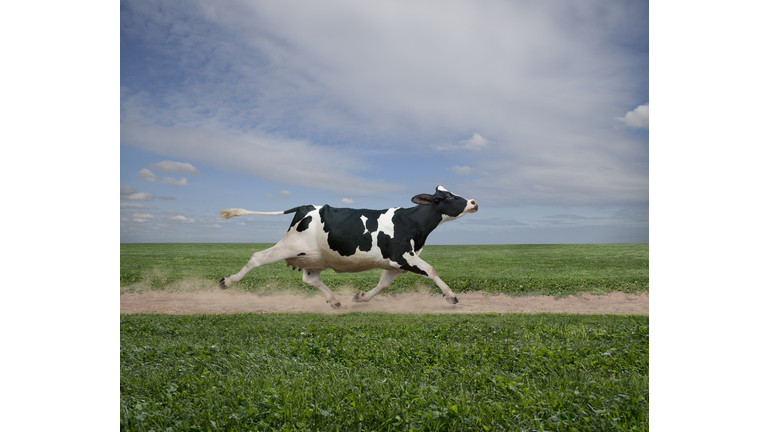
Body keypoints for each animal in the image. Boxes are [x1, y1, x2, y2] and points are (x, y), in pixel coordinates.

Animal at [216, 185, 476, 308]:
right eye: (449, 197)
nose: (474, 202)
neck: (411, 221)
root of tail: (305, 206)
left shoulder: (394, 263)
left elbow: (383, 285)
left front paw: (361, 297)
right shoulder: (403, 256)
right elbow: (431, 270)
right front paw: (451, 296)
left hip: (315, 257)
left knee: (310, 279)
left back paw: (334, 300)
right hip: (289, 246)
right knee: (257, 257)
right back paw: (226, 282)